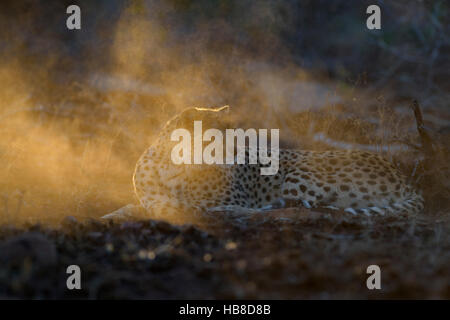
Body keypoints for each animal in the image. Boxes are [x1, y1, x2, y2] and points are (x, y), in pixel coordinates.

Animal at [102, 106, 422, 221]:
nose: (242, 151)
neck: (174, 167)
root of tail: (404, 178)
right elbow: (134, 205)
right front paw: (114, 213)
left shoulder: (236, 197)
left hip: (300, 170)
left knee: (293, 207)